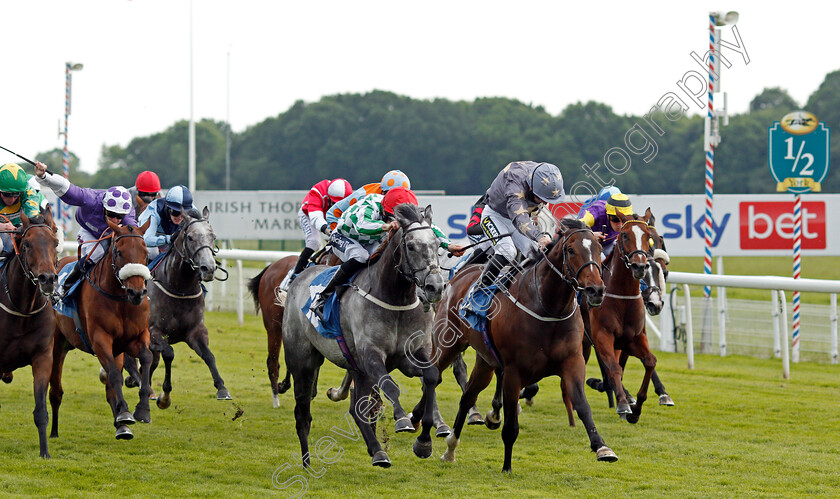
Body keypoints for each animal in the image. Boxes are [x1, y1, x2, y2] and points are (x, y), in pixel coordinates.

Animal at [49, 222, 154, 442]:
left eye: (146, 253)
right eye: (119, 252)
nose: (137, 293)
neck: (120, 300)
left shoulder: (136, 338)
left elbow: (146, 358)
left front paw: (142, 409)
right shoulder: (100, 339)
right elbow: (114, 375)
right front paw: (125, 412)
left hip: (117, 351)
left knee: (110, 388)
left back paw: (122, 427)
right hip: (57, 344)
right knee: (55, 389)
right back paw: (53, 430)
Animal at [144, 206, 230, 406]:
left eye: (213, 236)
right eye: (190, 237)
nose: (208, 268)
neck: (179, 289)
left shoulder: (196, 330)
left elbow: (209, 356)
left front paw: (222, 388)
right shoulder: (154, 331)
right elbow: (169, 354)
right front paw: (165, 396)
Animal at [284, 203, 446, 468]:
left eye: (436, 244)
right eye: (411, 246)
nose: (436, 287)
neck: (395, 298)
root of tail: (301, 278)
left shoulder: (411, 354)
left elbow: (432, 377)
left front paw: (423, 441)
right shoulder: (371, 354)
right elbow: (390, 386)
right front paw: (403, 419)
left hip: (357, 369)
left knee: (356, 409)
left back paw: (378, 451)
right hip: (303, 363)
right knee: (302, 413)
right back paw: (306, 463)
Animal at [410, 220, 612, 472]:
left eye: (598, 248)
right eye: (571, 250)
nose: (596, 290)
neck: (547, 307)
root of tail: (459, 275)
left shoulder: (572, 362)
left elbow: (582, 404)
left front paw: (602, 447)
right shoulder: (514, 371)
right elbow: (510, 427)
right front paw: (506, 466)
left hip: (485, 360)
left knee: (468, 396)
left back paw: (450, 449)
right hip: (448, 344)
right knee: (434, 377)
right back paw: (420, 431)